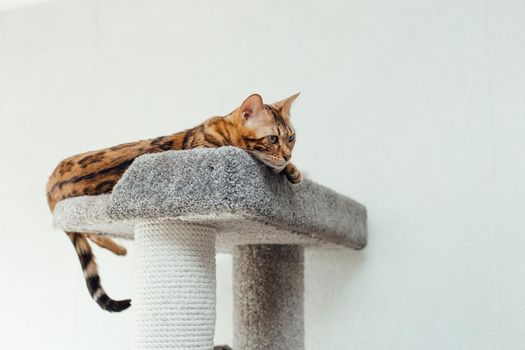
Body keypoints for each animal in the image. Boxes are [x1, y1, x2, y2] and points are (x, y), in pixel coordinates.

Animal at [47, 93, 300, 312]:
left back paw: (117, 248)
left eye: (291, 138)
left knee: (87, 233)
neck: (222, 129)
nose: (288, 154)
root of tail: (50, 182)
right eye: (273, 138)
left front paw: (293, 170)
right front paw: (284, 167)